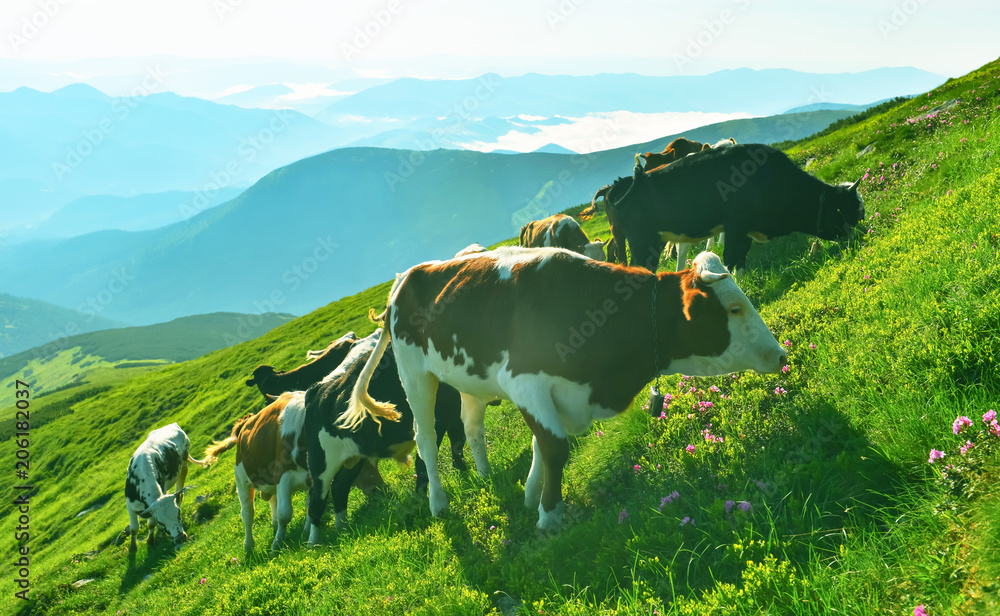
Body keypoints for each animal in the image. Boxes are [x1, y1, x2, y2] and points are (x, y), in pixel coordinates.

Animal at [302, 330, 466, 540]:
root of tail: (317, 390)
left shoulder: (455, 410)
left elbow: (458, 444)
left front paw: (467, 475)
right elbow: (424, 463)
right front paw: (424, 500)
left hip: (355, 456)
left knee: (339, 486)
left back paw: (344, 529)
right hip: (320, 463)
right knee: (316, 500)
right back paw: (314, 542)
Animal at [344, 248, 788, 528]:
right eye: (734, 309)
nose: (780, 354)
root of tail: (405, 278)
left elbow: (541, 445)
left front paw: (530, 496)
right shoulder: (524, 381)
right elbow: (555, 447)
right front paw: (549, 514)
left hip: (469, 380)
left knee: (471, 427)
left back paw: (486, 476)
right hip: (415, 373)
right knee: (426, 437)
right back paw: (438, 502)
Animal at [604, 144, 864, 272]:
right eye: (849, 213)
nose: (859, 241)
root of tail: (630, 181)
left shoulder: (746, 231)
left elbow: (740, 262)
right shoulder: (736, 227)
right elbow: (729, 260)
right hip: (641, 243)